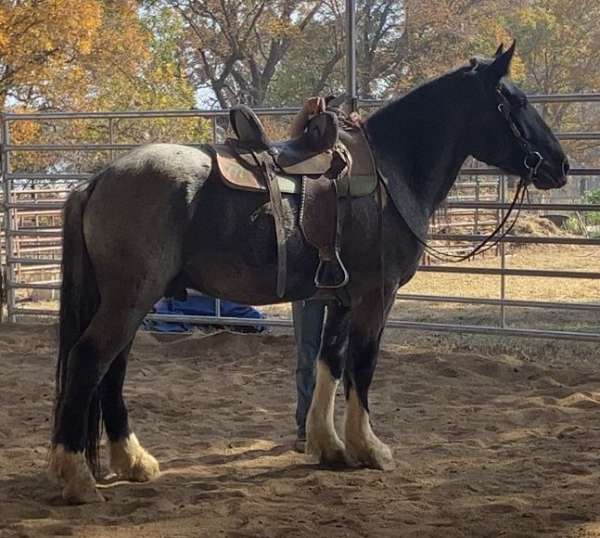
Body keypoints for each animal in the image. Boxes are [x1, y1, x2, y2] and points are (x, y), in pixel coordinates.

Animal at [48, 43, 568, 502]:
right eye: (516, 102)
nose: (561, 165)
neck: (392, 172)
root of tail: (98, 180)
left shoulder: (340, 300)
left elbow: (329, 363)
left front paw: (329, 446)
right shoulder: (376, 297)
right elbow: (362, 365)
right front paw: (370, 448)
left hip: (129, 303)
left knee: (112, 370)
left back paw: (132, 461)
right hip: (129, 302)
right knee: (89, 361)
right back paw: (77, 478)